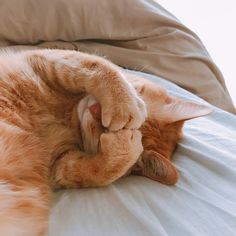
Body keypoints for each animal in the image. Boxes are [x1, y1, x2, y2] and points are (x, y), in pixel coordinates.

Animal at [0, 48, 147, 235]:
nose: (96, 110)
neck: (65, 115)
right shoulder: (43, 59)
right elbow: (97, 66)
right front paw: (125, 104)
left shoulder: (59, 165)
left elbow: (97, 171)